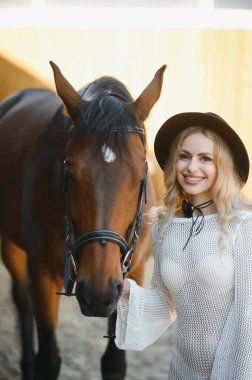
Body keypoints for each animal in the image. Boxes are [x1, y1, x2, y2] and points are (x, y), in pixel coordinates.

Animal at [0, 60, 165, 378]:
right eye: (69, 171)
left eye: (141, 176)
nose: (98, 293)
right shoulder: (43, 273)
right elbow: (48, 361)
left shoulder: (133, 273)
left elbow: (114, 363)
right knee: (23, 301)